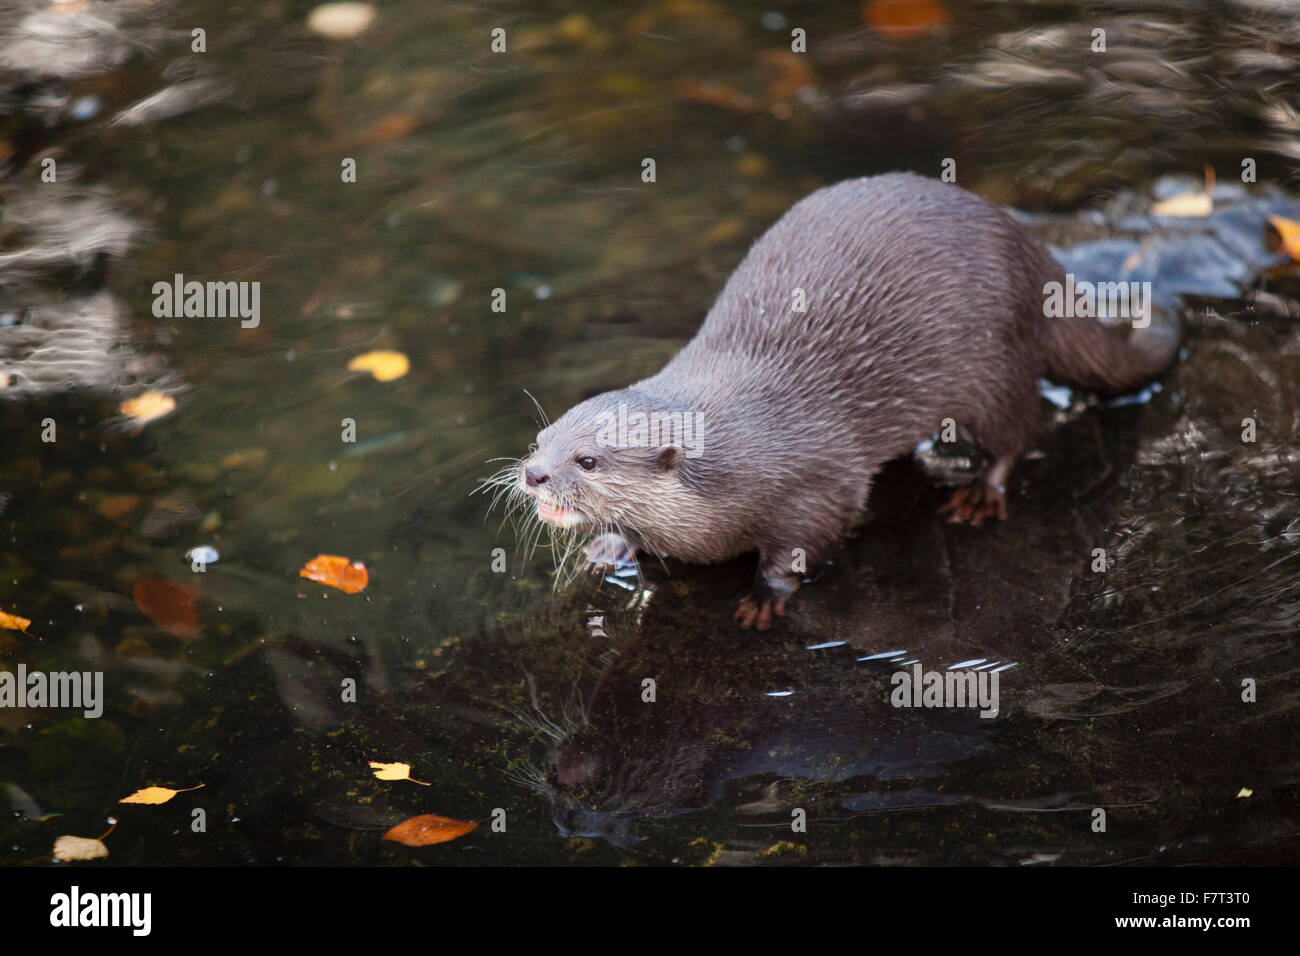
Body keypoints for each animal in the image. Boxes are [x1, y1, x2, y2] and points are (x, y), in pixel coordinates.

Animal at [511, 172, 1180, 629]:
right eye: (540, 440)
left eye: (589, 461)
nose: (532, 474)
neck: (735, 465)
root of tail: (1031, 250)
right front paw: (612, 546)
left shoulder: (817, 487)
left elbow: (799, 550)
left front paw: (764, 599)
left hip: (1000, 363)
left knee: (1015, 431)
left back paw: (979, 495)